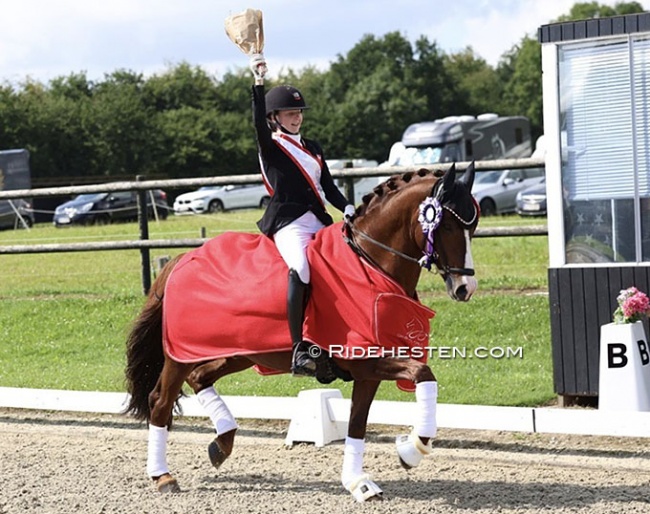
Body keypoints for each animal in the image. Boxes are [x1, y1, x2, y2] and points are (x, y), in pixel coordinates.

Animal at [123, 163, 476, 500]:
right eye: (446, 225)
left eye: (472, 227)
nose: (465, 288)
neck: (370, 263)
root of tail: (183, 258)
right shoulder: (366, 360)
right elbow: (423, 374)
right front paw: (411, 449)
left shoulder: (368, 371)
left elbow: (358, 424)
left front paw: (358, 483)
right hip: (180, 354)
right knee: (160, 401)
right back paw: (163, 476)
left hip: (240, 353)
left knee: (200, 378)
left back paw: (222, 444)